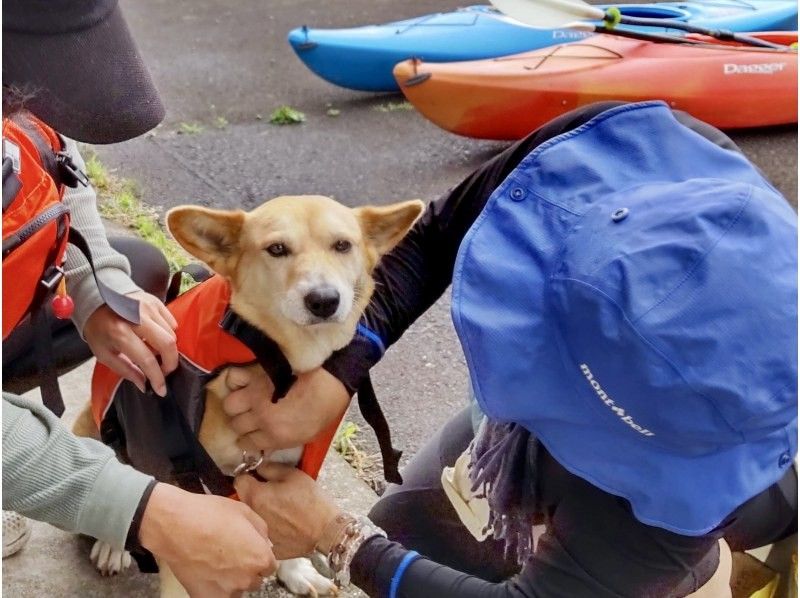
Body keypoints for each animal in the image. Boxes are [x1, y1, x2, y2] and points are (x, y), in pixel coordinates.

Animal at [73, 196, 424, 596]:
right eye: (277, 249)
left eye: (342, 245)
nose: (324, 300)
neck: (278, 365)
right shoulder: (187, 498)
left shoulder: (286, 469)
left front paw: (295, 570)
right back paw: (112, 546)